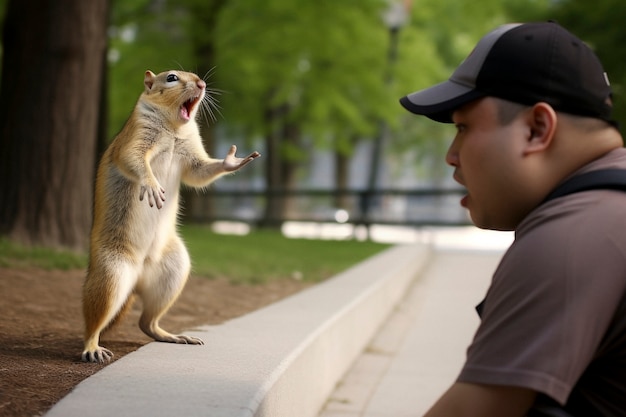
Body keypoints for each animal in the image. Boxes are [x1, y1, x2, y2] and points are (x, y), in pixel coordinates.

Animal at [82, 68, 258, 360]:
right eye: (172, 77)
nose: (202, 83)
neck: (174, 129)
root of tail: (136, 282)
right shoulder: (135, 136)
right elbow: (132, 158)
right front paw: (151, 185)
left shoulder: (192, 155)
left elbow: (199, 172)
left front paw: (231, 161)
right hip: (110, 275)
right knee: (95, 319)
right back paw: (92, 347)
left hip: (173, 273)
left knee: (147, 322)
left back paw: (172, 336)